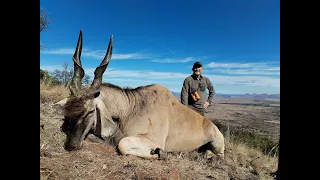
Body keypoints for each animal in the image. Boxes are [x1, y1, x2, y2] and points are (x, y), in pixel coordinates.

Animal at [57, 30, 225, 160]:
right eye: (67, 110)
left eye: (91, 111)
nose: (71, 145)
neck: (131, 108)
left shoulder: (151, 140)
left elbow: (122, 145)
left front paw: (161, 154)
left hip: (217, 144)